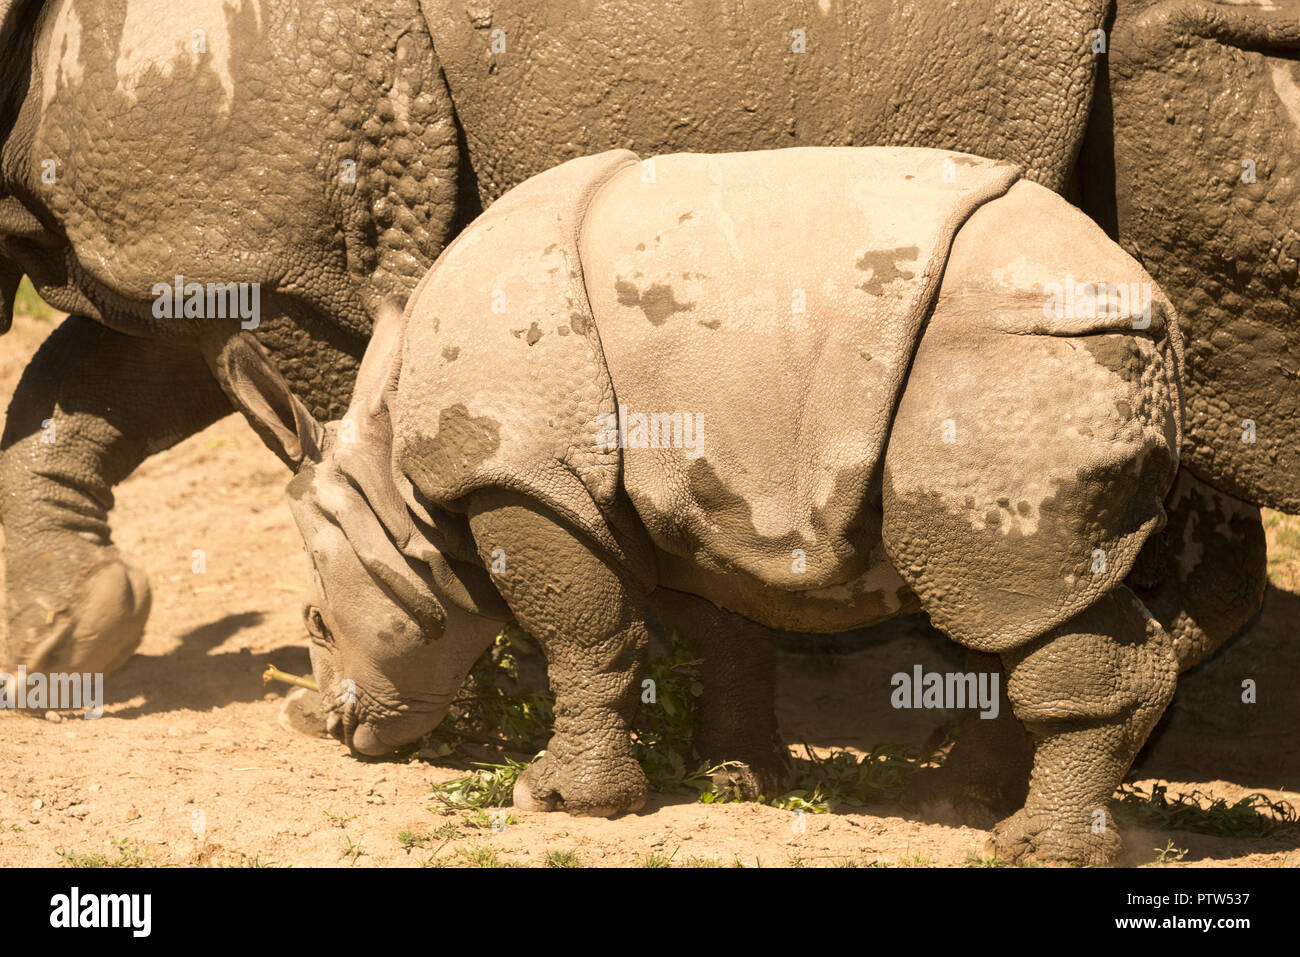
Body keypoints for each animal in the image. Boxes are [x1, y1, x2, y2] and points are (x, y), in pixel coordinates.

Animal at [224, 146, 1185, 865]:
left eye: (316, 621)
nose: (341, 729)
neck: (395, 488)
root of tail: (1153, 309)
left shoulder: (524, 473)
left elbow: (583, 636)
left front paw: (558, 799)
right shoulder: (688, 508)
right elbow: (724, 635)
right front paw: (738, 779)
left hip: (1010, 359)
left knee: (1001, 591)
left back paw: (1031, 846)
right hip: (1040, 355)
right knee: (1007, 601)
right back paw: (962, 804)